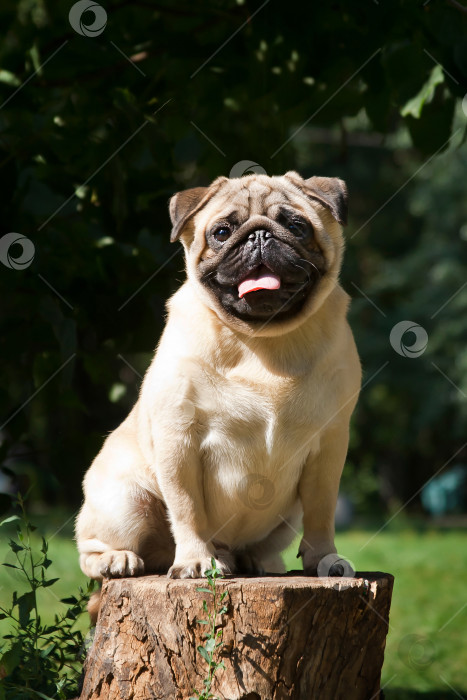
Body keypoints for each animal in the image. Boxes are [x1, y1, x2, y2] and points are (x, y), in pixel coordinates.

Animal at [76, 172, 362, 592]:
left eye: (297, 226)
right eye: (222, 232)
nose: (259, 234)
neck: (262, 339)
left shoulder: (328, 446)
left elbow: (322, 514)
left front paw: (324, 560)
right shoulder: (179, 439)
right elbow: (187, 509)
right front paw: (196, 560)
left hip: (284, 520)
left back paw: (250, 560)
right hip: (126, 503)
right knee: (95, 550)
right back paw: (120, 559)